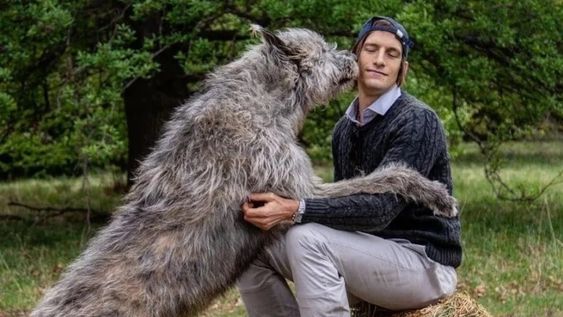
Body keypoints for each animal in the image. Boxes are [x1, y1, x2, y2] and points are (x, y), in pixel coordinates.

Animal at [30, 25, 458, 316]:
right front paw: (437, 195)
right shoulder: (299, 186)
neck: (259, 102)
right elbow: (389, 175)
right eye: (323, 50)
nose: (355, 60)